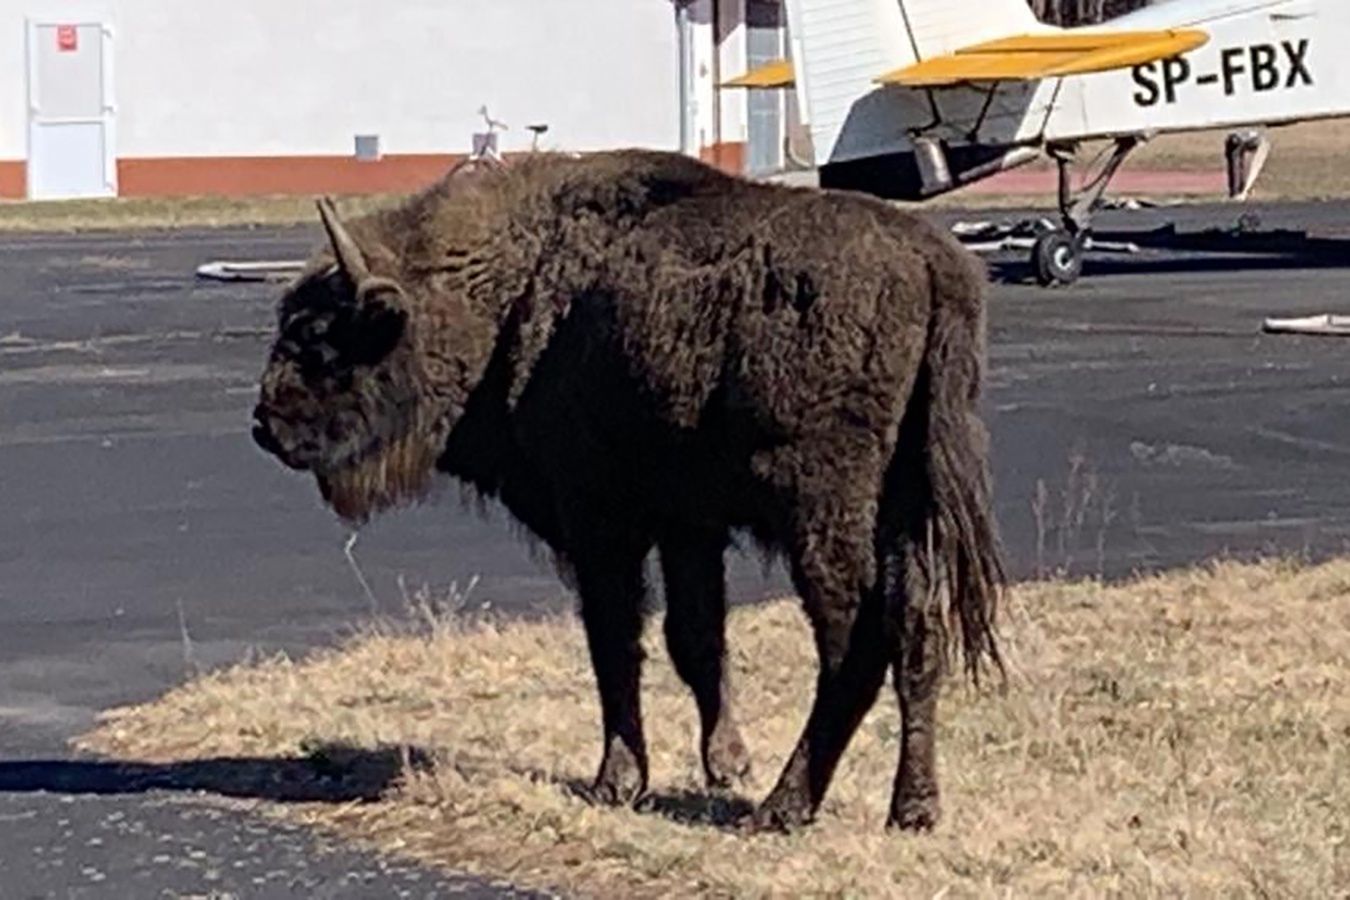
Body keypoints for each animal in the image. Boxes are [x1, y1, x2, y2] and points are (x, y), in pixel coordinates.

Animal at [251, 151, 1004, 836]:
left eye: (317, 335)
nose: (264, 423)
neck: (512, 291)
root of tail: (931, 264)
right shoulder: (687, 524)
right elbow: (694, 638)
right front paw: (726, 763)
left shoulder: (600, 520)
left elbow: (615, 641)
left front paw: (617, 781)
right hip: (906, 508)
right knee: (918, 631)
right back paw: (912, 809)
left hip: (822, 509)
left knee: (856, 641)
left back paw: (782, 809)